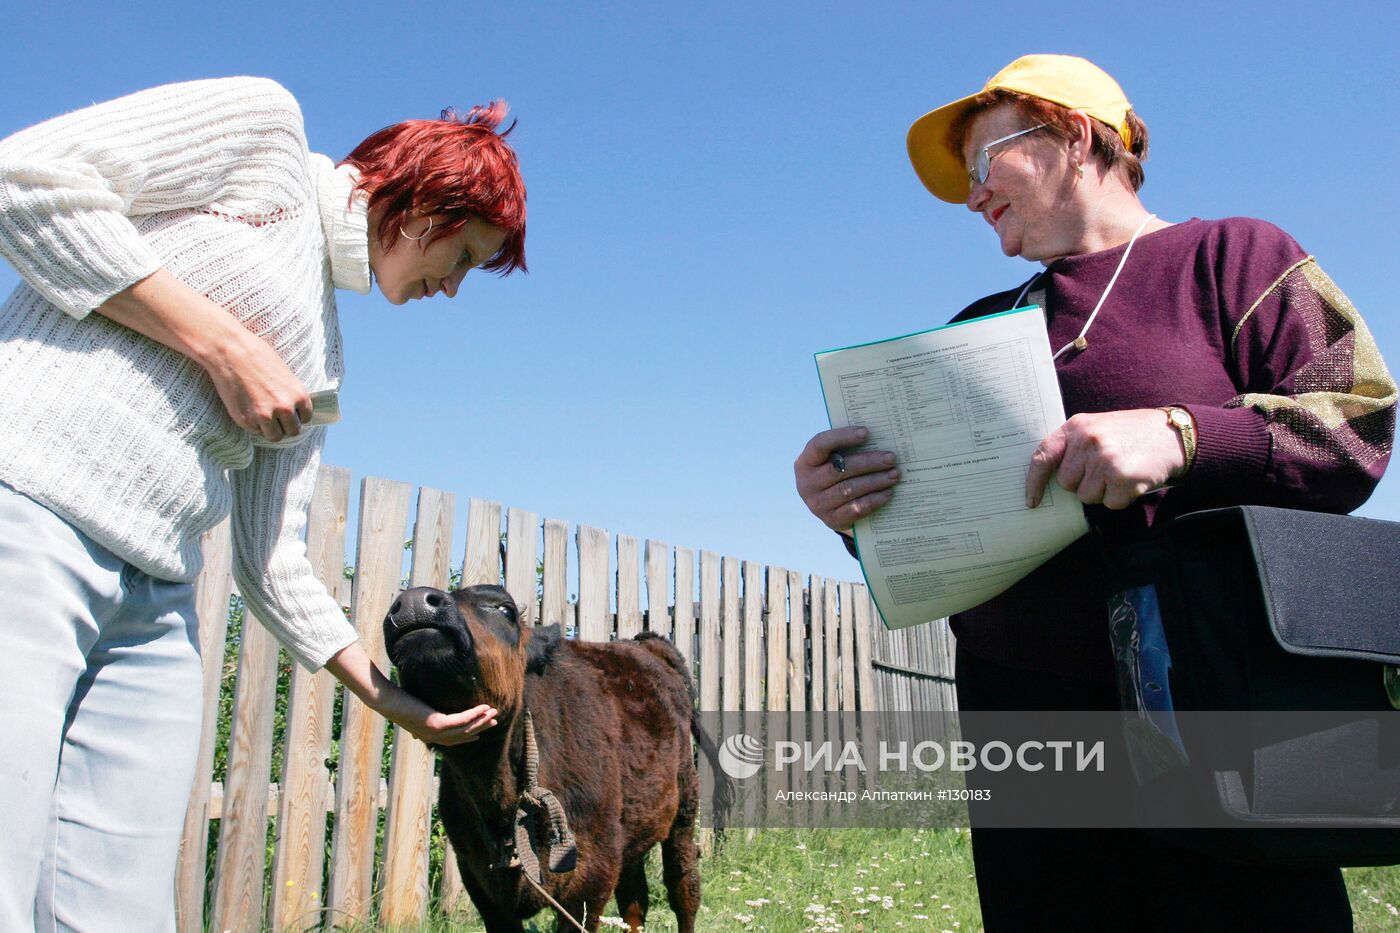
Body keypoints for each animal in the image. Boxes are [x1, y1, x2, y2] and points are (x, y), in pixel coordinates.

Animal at [383, 582, 733, 930]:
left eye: (505, 610)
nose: (415, 601)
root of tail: (645, 644)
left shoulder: (592, 876)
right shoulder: (481, 883)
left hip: (683, 811)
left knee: (684, 888)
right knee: (634, 900)